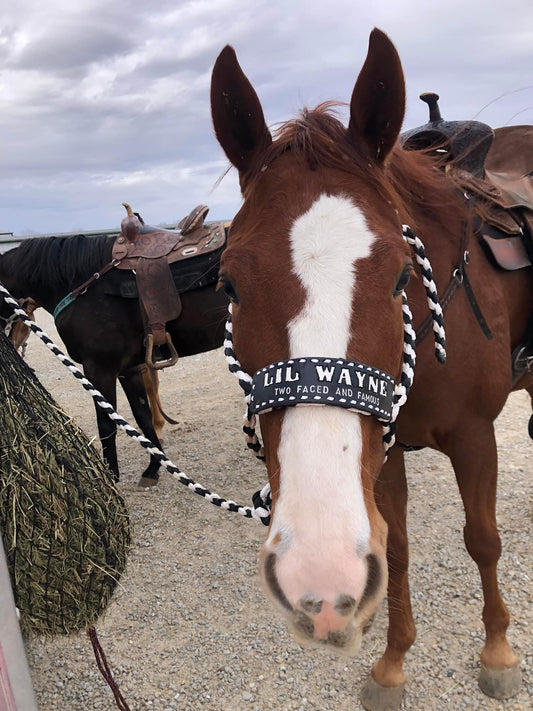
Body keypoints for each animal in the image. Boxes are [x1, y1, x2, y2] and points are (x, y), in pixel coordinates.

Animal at [0, 231, 227, 486]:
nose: (11, 343)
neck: (83, 287)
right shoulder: (130, 369)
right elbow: (143, 416)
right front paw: (153, 467)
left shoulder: (100, 369)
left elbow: (107, 422)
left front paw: (111, 476)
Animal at [210, 27, 528, 711]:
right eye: (228, 283)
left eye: (403, 275)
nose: (316, 565)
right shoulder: (386, 447)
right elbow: (397, 551)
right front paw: (392, 664)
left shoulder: (475, 436)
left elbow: (483, 539)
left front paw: (497, 652)